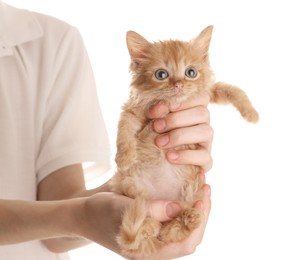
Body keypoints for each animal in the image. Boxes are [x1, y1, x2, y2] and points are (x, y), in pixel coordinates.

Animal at [109, 25, 258, 256]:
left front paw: (251, 114)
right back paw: (152, 225)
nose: (179, 84)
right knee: (155, 227)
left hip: (190, 194)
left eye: (191, 72)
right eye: (161, 74)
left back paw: (189, 219)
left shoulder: (208, 92)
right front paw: (124, 158)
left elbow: (232, 90)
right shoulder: (132, 111)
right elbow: (124, 131)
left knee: (169, 232)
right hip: (130, 186)